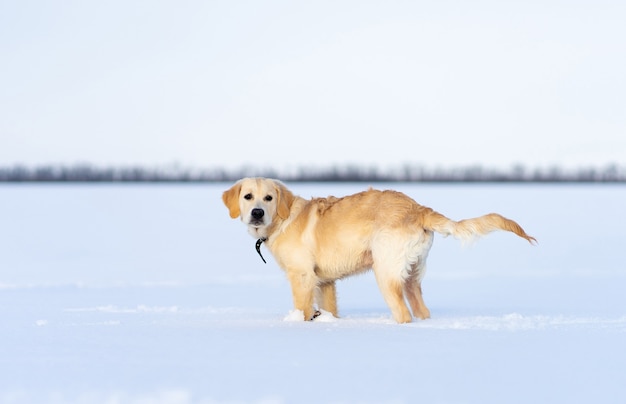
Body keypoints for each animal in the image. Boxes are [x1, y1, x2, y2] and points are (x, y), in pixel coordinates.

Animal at [222, 178, 532, 324]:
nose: (257, 213)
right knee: (421, 310)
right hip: (412, 275)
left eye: (268, 197)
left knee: (404, 314)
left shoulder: (302, 276)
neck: (282, 219)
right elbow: (329, 308)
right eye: (248, 196)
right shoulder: (325, 281)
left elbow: (302, 308)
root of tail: (419, 208)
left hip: (385, 271)